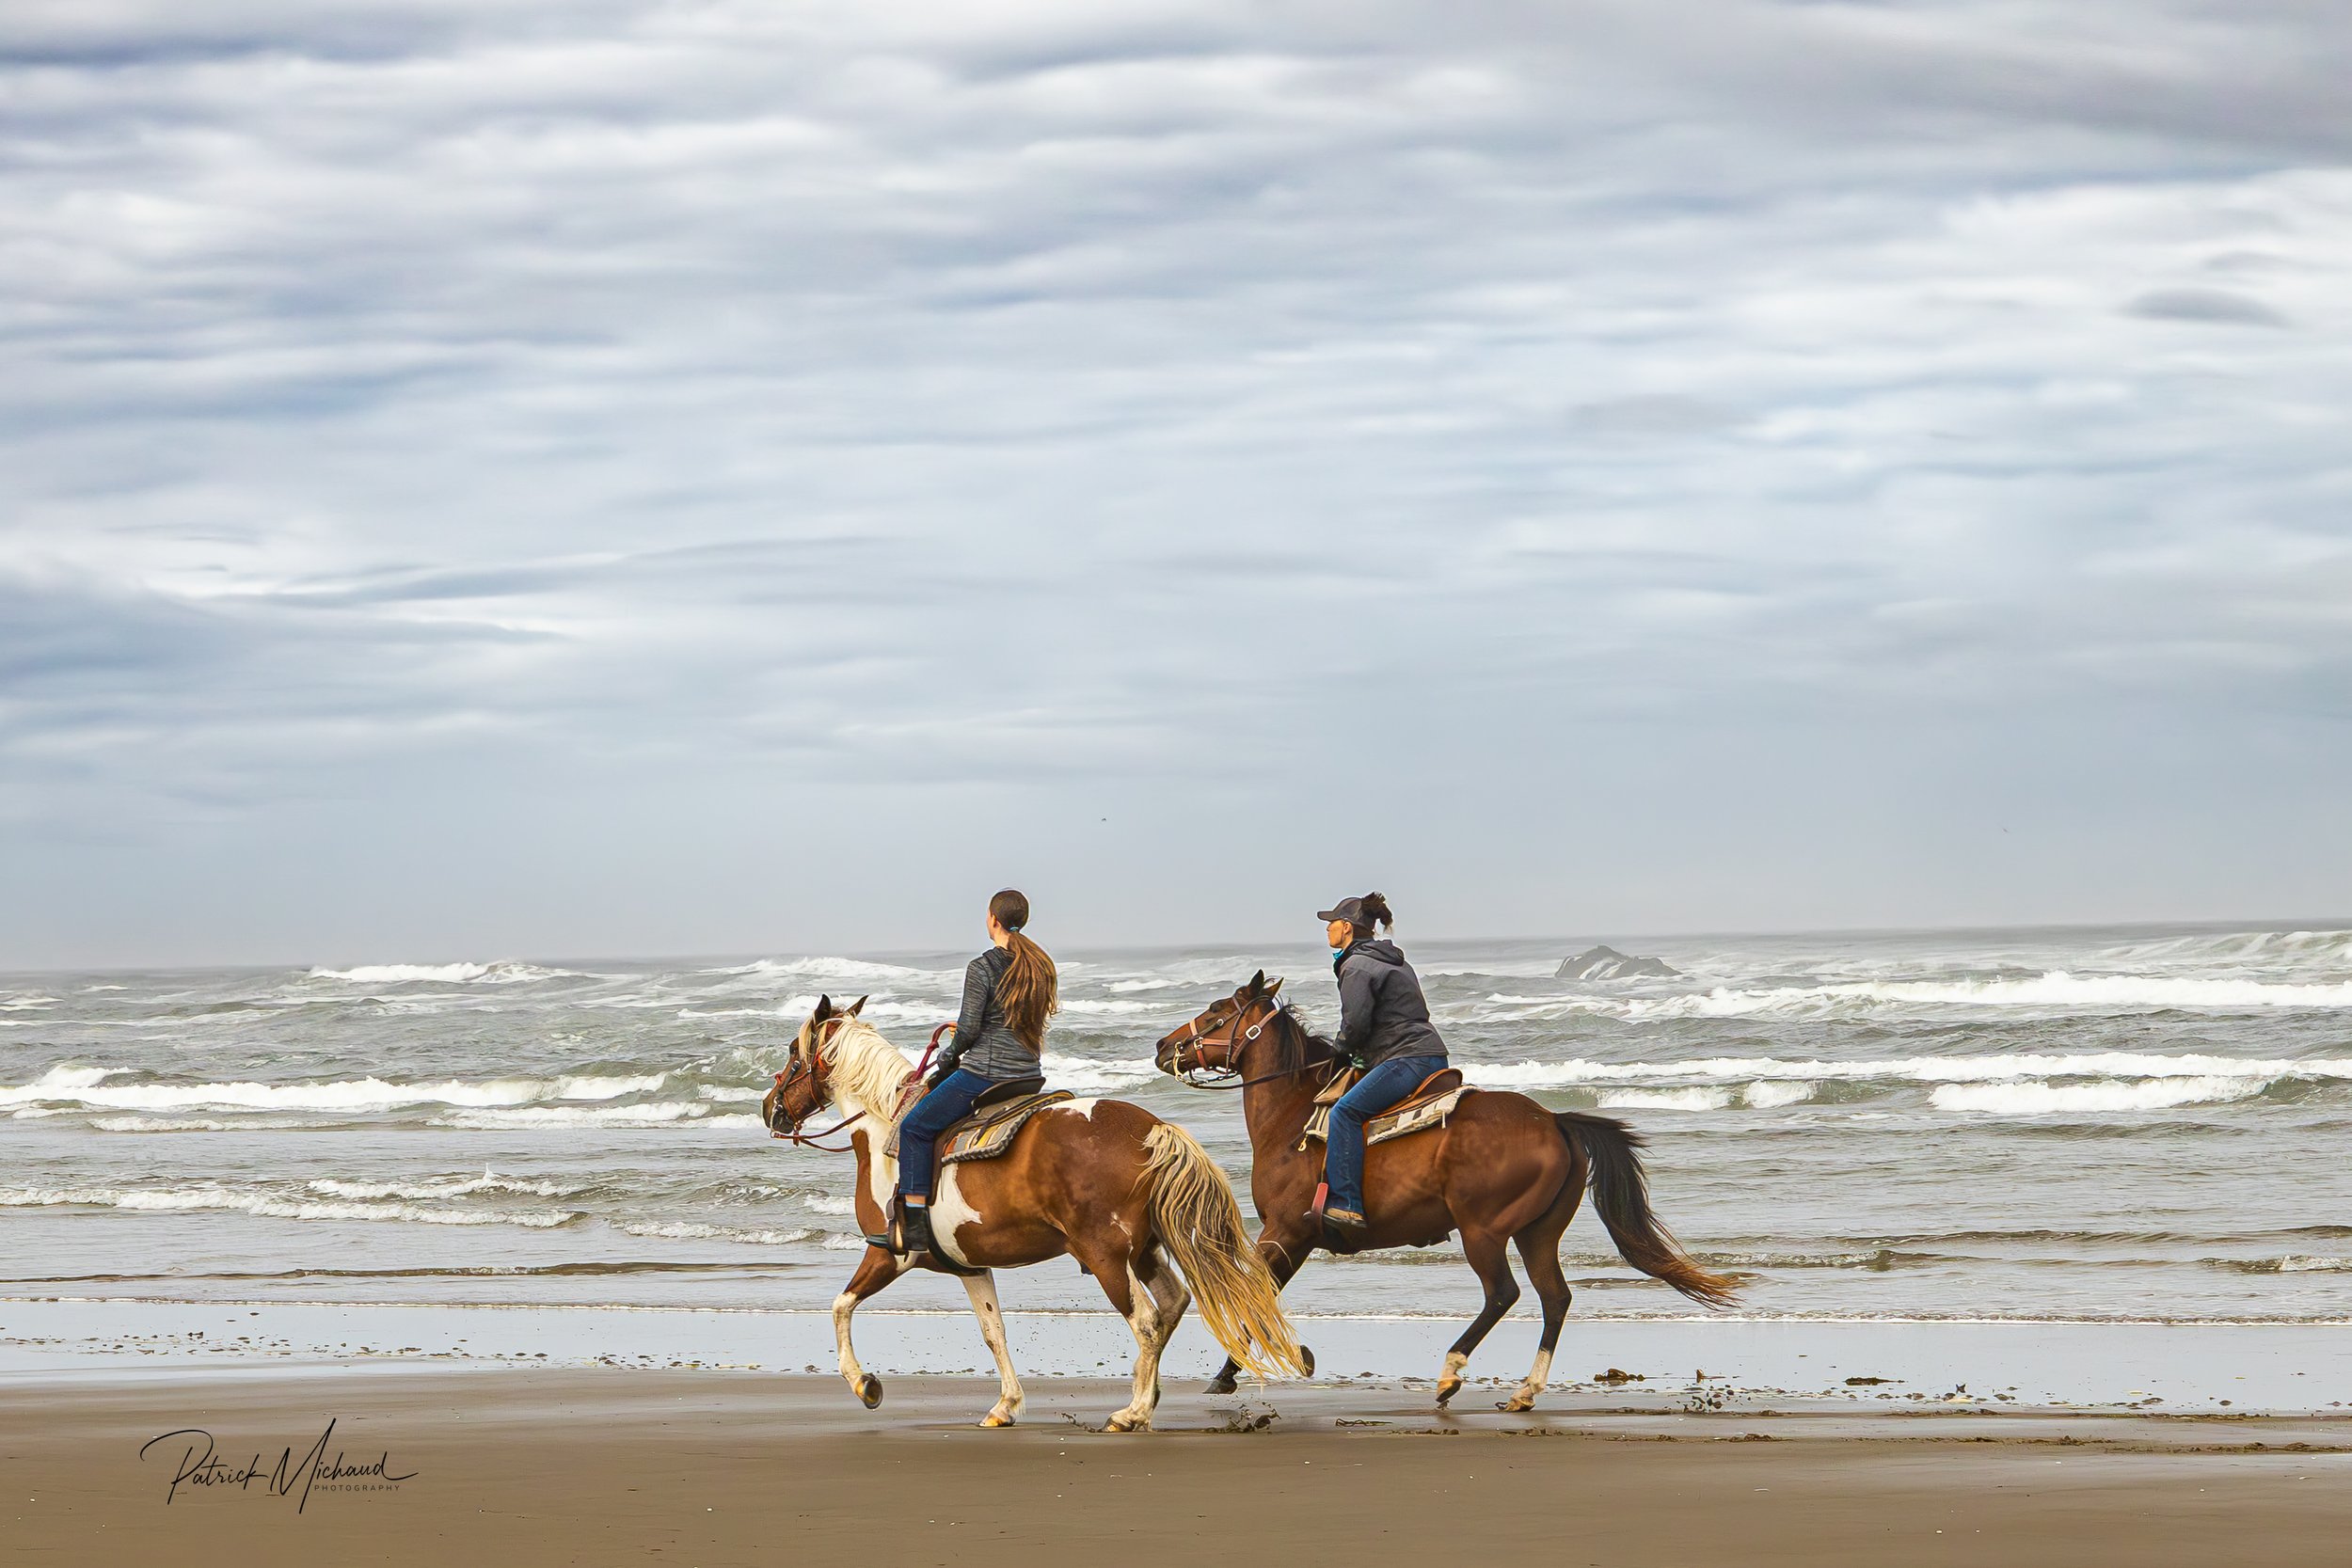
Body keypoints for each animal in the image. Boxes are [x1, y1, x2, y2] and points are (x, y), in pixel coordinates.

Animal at [763, 994, 1307, 1430]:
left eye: (792, 1053)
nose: (771, 1108)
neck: (886, 1132)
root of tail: (1149, 1128)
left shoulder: (890, 1254)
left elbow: (840, 1305)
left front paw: (865, 1385)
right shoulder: (971, 1266)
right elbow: (994, 1332)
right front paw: (1005, 1406)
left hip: (1107, 1256)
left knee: (1147, 1321)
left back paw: (1130, 1413)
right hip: (1144, 1250)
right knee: (1172, 1306)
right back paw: (1145, 1401)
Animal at [1155, 972, 1738, 1410]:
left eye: (1216, 1011)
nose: (1163, 1046)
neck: (1294, 1115)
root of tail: (1555, 1121)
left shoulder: (1284, 1231)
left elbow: (1253, 1294)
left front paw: (1227, 1373)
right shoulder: (1298, 1240)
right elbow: (1262, 1295)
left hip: (1484, 1231)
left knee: (1503, 1294)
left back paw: (1451, 1373)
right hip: (1537, 1232)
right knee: (1555, 1298)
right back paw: (1525, 1390)